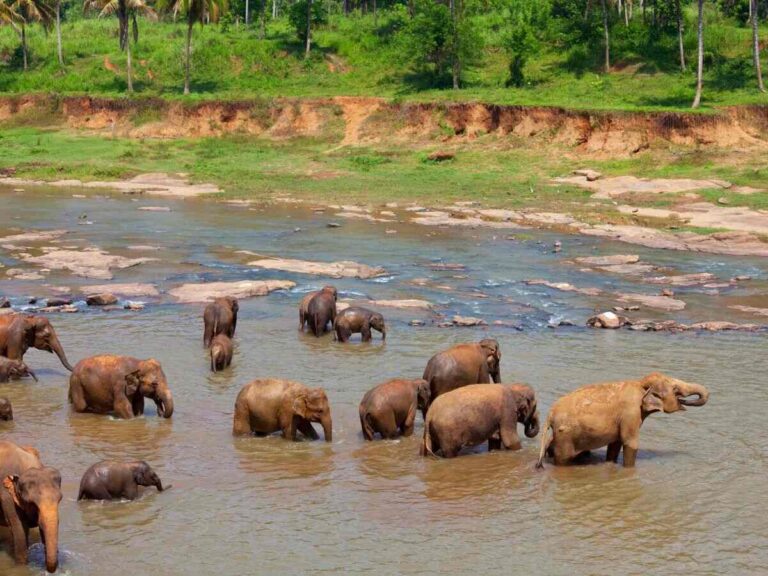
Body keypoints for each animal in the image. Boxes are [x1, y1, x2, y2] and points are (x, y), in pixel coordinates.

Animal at [536, 372, 709, 468]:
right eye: (675, 389)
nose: (685, 400)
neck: (640, 384)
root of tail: (550, 413)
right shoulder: (630, 413)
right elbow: (630, 443)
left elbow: (615, 444)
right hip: (565, 435)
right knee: (563, 459)